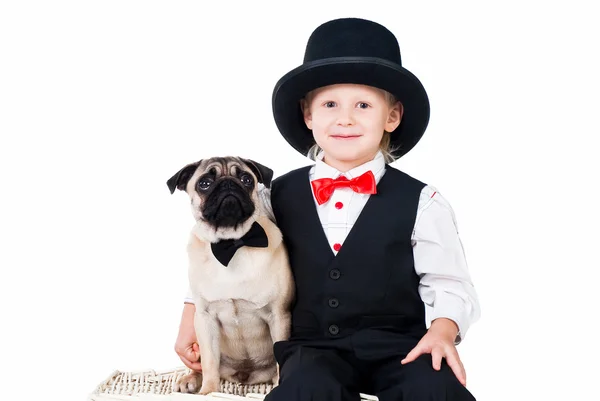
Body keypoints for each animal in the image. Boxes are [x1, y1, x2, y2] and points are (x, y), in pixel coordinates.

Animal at [166, 156, 292, 394]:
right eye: (204, 183)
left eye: (246, 179)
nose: (228, 184)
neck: (231, 244)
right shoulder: (205, 320)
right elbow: (209, 363)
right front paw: (209, 391)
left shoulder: (279, 316)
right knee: (202, 365)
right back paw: (190, 379)